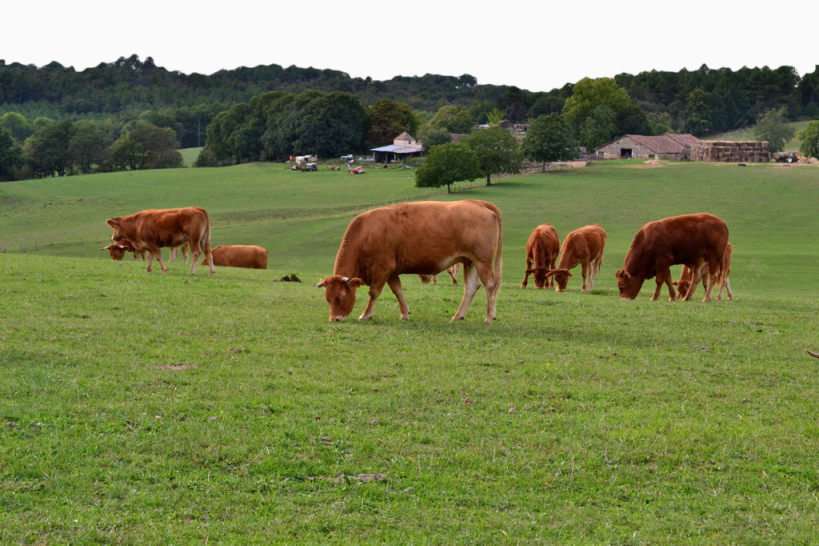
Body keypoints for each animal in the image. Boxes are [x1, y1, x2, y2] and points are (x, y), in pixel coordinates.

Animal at [318, 198, 502, 320]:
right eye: (327, 298)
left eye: (342, 297)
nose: (335, 319)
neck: (366, 234)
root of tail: (476, 202)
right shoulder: (391, 271)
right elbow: (398, 291)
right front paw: (405, 313)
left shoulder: (382, 268)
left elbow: (374, 292)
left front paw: (366, 314)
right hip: (469, 261)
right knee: (471, 287)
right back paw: (458, 316)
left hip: (482, 262)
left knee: (490, 286)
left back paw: (489, 317)